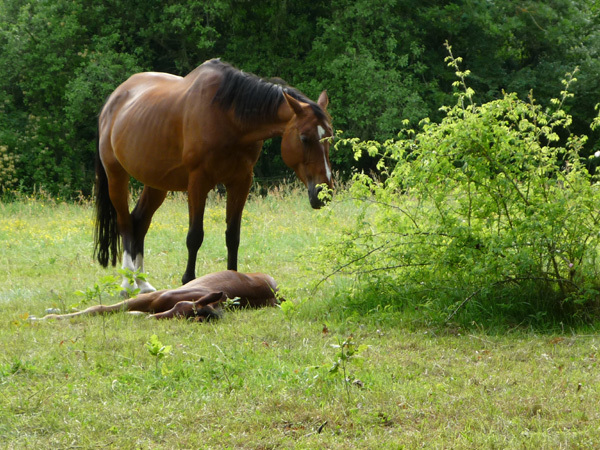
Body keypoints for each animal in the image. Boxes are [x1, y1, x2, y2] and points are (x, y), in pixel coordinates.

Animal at [96, 59, 336, 292]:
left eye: (330, 137)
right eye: (304, 138)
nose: (323, 192)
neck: (228, 117)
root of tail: (112, 101)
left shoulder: (240, 181)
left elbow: (233, 235)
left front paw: (233, 279)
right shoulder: (198, 182)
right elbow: (195, 236)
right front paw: (189, 281)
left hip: (156, 183)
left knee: (140, 221)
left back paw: (142, 283)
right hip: (116, 176)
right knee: (125, 223)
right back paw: (128, 284)